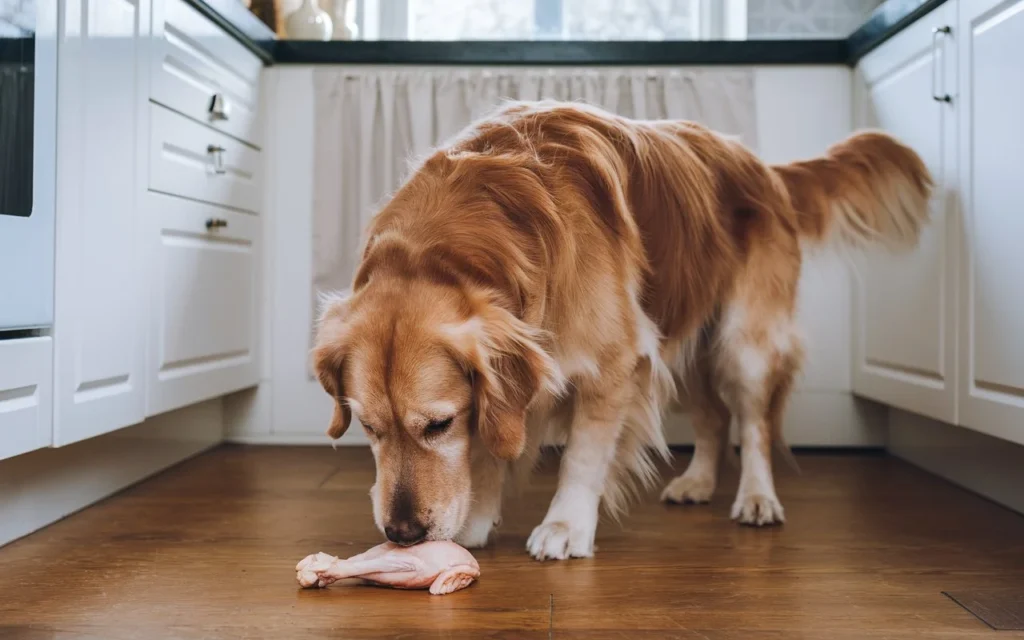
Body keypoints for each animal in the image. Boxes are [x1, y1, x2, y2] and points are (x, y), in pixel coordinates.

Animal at [309, 99, 929, 557]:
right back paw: (697, 482)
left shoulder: (615, 362)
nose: (403, 534)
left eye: (439, 425)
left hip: (741, 345)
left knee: (752, 423)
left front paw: (564, 526)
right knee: (713, 415)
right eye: (370, 428)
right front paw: (478, 516)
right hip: (685, 344)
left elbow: (583, 454)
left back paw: (755, 497)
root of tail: (761, 166)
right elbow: (491, 447)